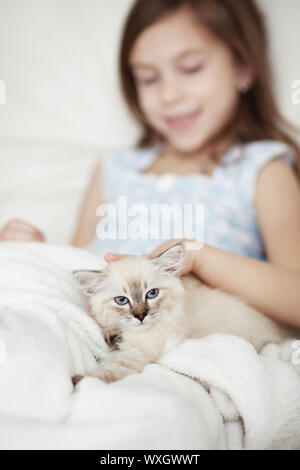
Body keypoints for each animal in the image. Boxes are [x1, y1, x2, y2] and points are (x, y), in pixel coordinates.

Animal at [72, 244, 290, 384]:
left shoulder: (137, 353)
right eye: (122, 300)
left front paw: (79, 380)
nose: (141, 316)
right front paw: (111, 335)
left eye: (152, 293)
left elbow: (108, 371)